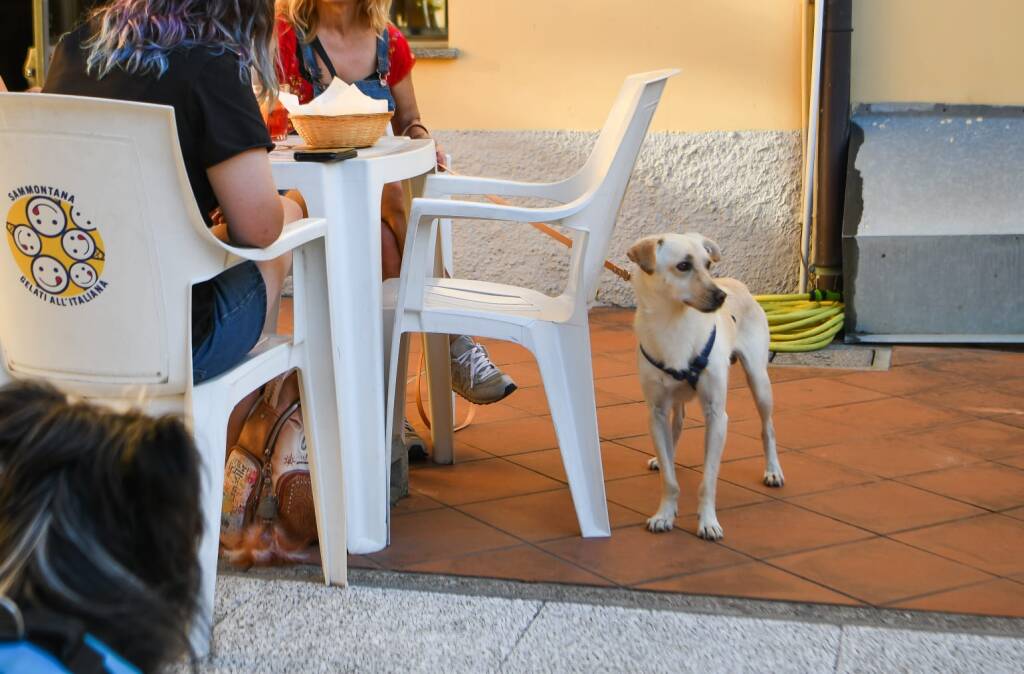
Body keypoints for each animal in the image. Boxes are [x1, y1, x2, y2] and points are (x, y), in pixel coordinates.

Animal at [622, 233, 782, 536]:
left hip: (760, 382)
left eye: (708, 264)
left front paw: (708, 522)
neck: (675, 323)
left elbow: (708, 480)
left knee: (767, 427)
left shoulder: (716, 415)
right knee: (677, 424)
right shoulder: (656, 412)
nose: (721, 296)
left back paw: (773, 471)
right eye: (683, 266)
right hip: (674, 400)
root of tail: (738, 284)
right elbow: (670, 479)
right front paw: (664, 514)